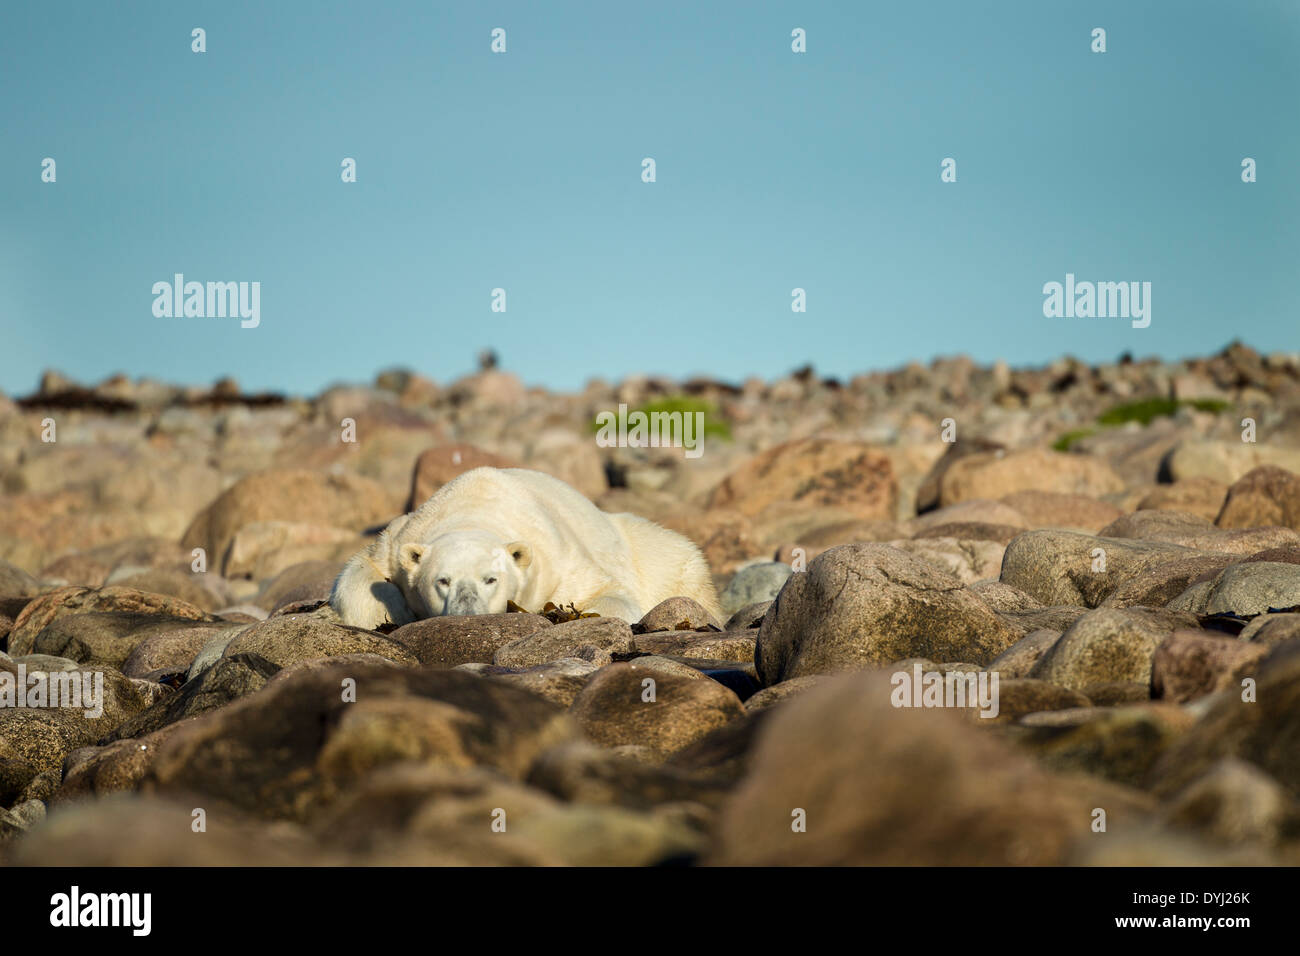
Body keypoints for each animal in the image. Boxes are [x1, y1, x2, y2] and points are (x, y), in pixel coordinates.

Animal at [327, 468, 722, 629]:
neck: (474, 508)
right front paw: (393, 614)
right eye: (443, 580)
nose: (467, 615)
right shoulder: (399, 538)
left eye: (490, 579)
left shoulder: (559, 560)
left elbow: (607, 592)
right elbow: (361, 573)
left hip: (655, 552)